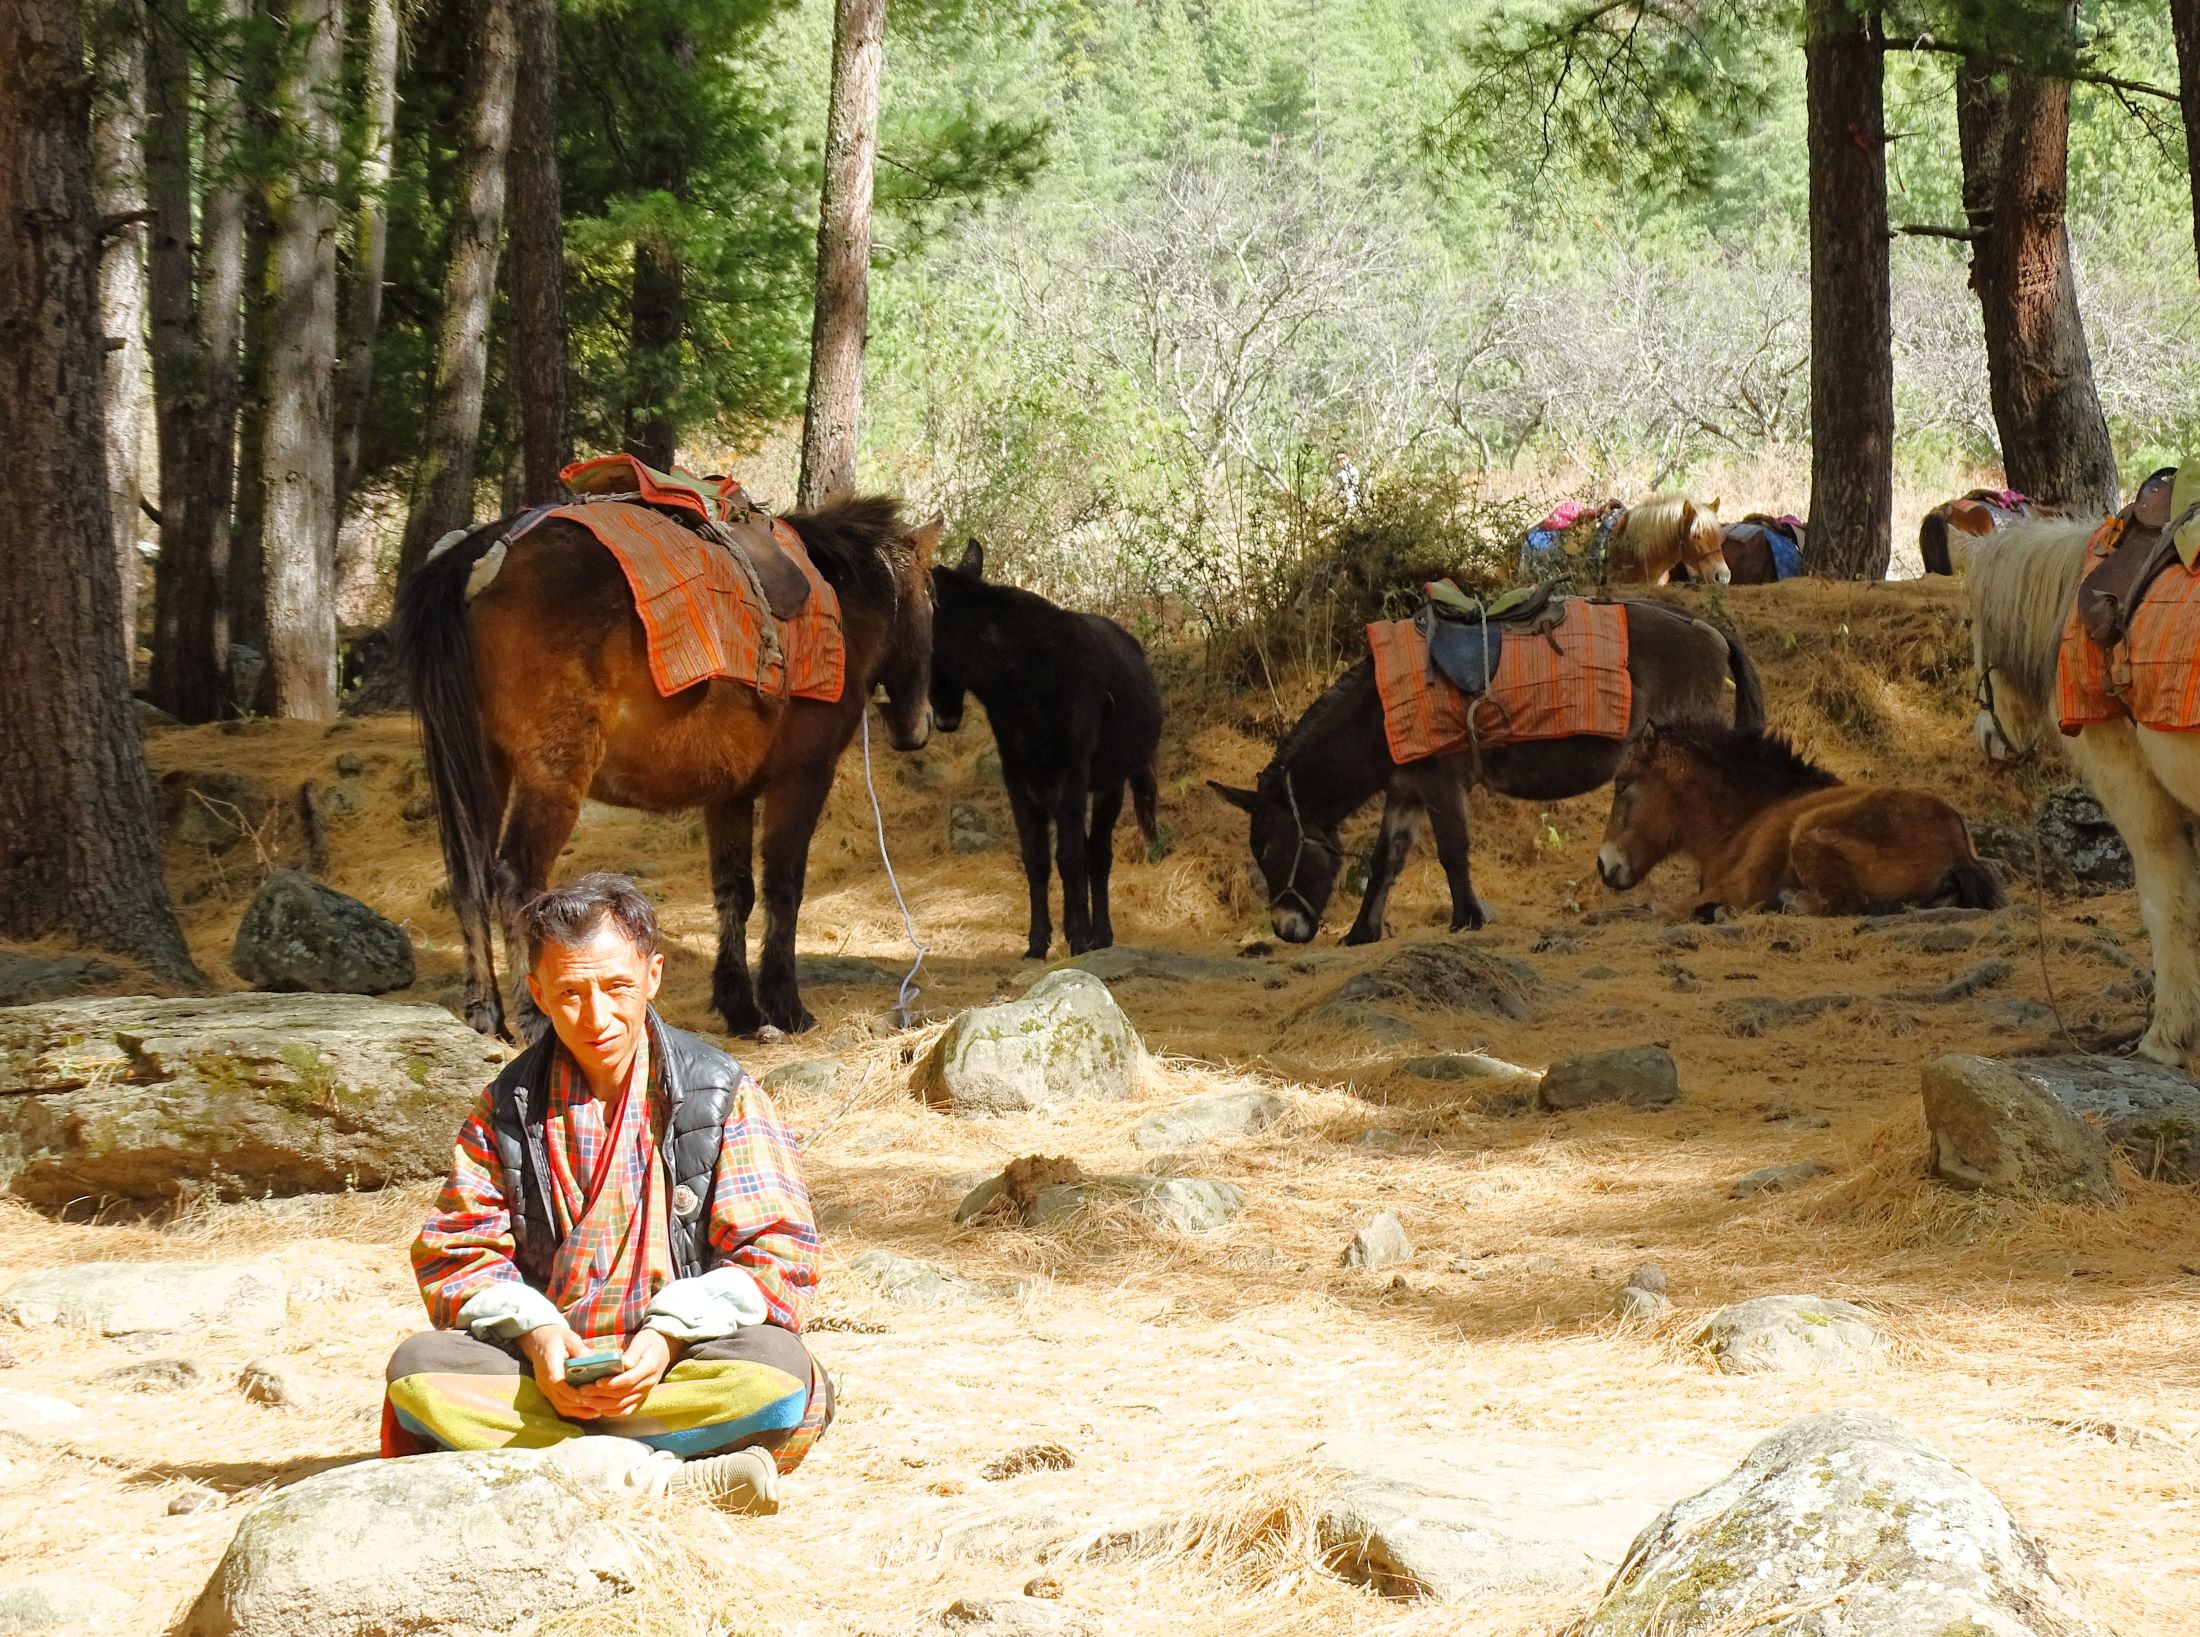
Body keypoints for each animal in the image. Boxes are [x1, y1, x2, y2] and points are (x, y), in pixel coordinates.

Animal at [396, 495, 937, 1034]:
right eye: (933, 602)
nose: (919, 726)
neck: (837, 602)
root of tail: (480, 556)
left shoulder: (730, 796)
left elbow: (734, 892)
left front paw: (739, 1006)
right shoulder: (803, 778)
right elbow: (784, 887)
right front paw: (785, 1005)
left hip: (482, 768)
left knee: (468, 878)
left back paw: (485, 1011)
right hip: (553, 774)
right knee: (515, 879)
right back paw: (535, 1017)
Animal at [1214, 598, 1760, 946]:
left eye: (1268, 849)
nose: (1284, 929)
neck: (1380, 711)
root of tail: (1706, 628)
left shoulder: (1440, 783)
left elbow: (1452, 853)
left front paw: (1466, 920)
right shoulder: (1405, 791)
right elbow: (1385, 861)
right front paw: (1361, 934)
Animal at [1592, 717, 2006, 919]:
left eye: (1622, 784)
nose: (1603, 864)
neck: (1750, 817)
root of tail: (1959, 851)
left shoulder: (1736, 887)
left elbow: (1661, 911)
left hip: (1807, 833)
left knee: (1845, 905)